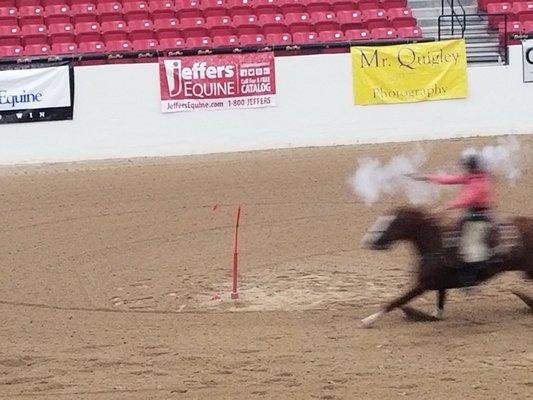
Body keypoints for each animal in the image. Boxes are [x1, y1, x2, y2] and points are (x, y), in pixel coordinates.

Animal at [360, 208, 528, 326]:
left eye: (392, 222)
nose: (369, 241)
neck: (435, 244)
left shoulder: (423, 284)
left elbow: (397, 301)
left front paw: (368, 320)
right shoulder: (439, 284)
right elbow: (439, 303)